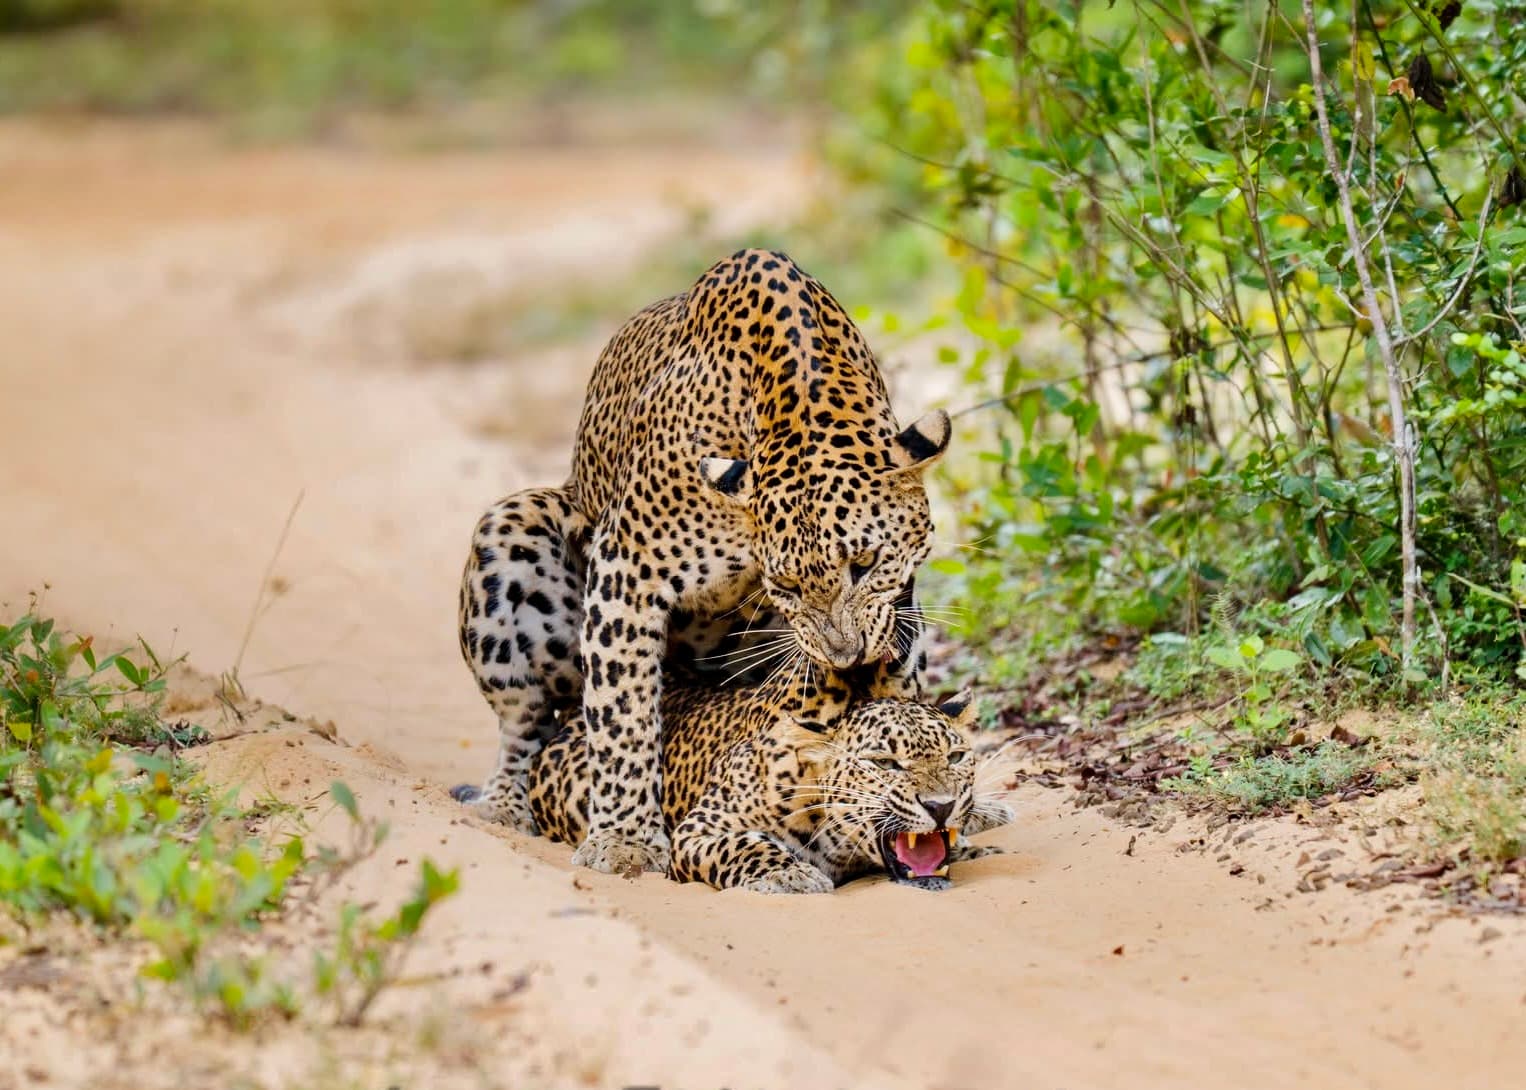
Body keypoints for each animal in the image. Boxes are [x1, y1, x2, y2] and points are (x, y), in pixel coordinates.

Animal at [454, 248, 951, 875]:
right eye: (786, 586)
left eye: (865, 562)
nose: (845, 656)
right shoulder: (627, 569)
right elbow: (622, 716)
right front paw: (625, 841)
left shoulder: (898, 605)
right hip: (512, 532)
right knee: (526, 722)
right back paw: (504, 804)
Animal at [525, 663, 1016, 893]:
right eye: (884, 763)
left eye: (956, 756)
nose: (941, 806)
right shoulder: (701, 829)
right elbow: (745, 845)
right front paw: (791, 876)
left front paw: (976, 843)